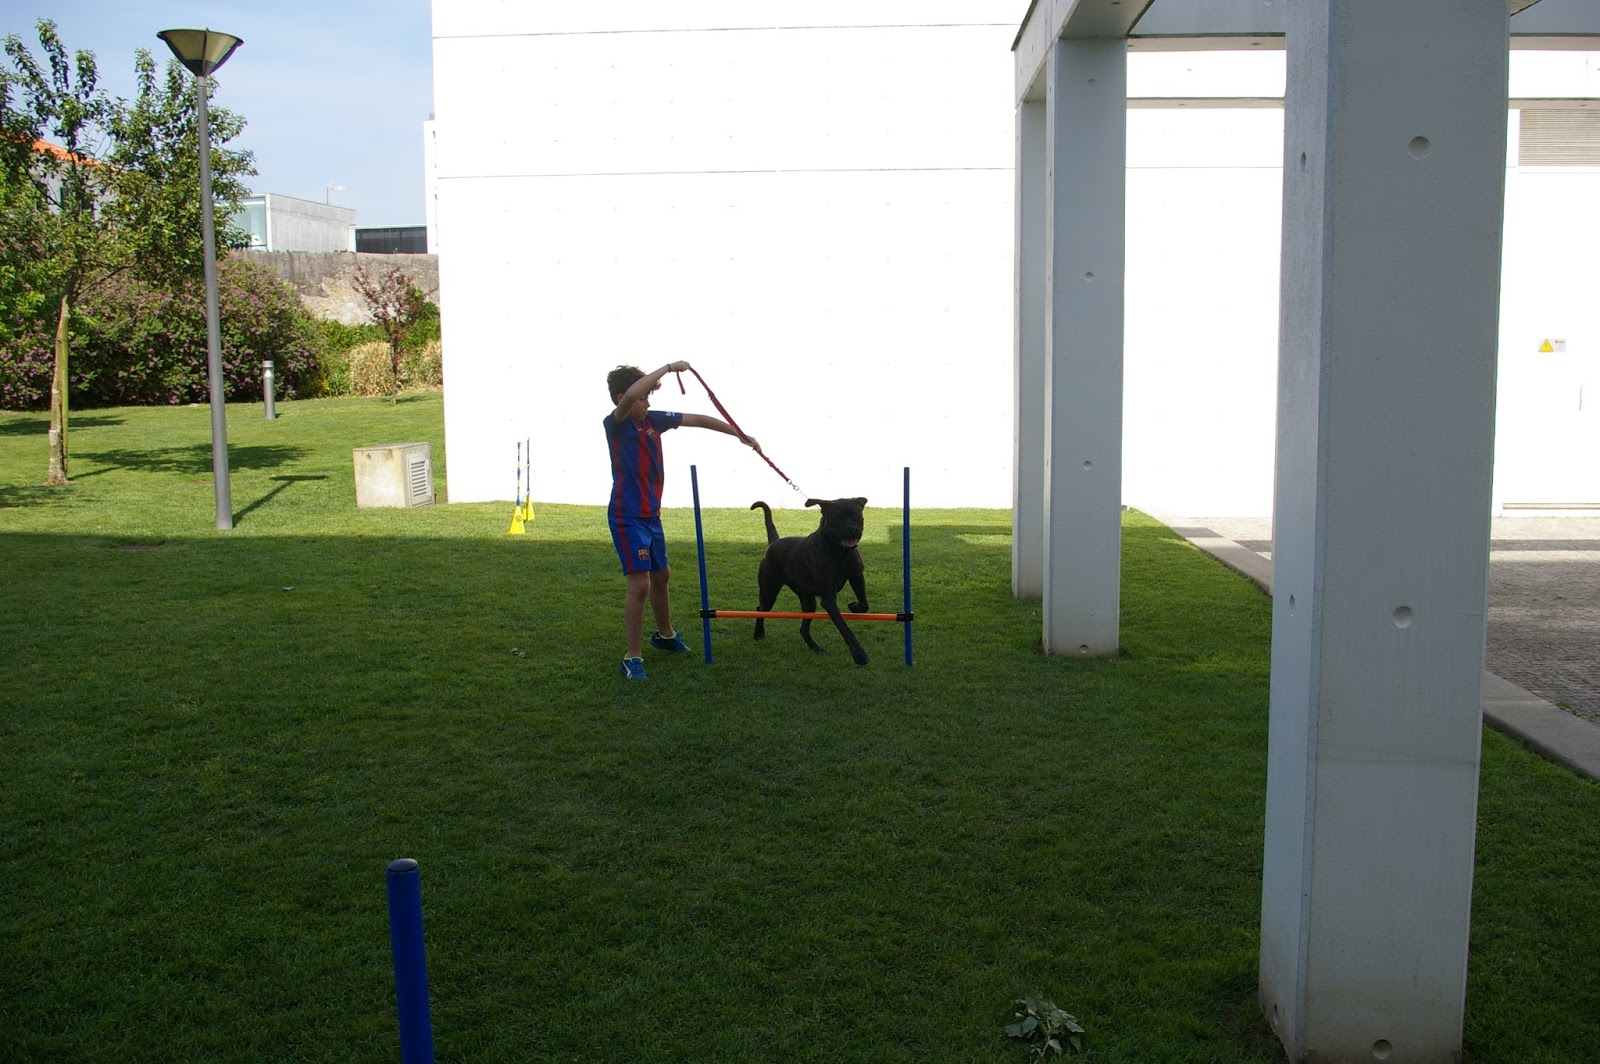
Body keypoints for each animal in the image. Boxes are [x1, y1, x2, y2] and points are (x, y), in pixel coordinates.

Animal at [750, 497, 871, 665]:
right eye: (837, 518)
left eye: (856, 515)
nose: (850, 528)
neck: (839, 553)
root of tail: (774, 542)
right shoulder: (828, 599)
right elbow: (844, 628)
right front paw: (859, 654)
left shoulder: (856, 576)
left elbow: (864, 604)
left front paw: (854, 606)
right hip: (769, 590)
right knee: (760, 608)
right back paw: (759, 634)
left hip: (808, 600)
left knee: (803, 628)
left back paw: (815, 647)